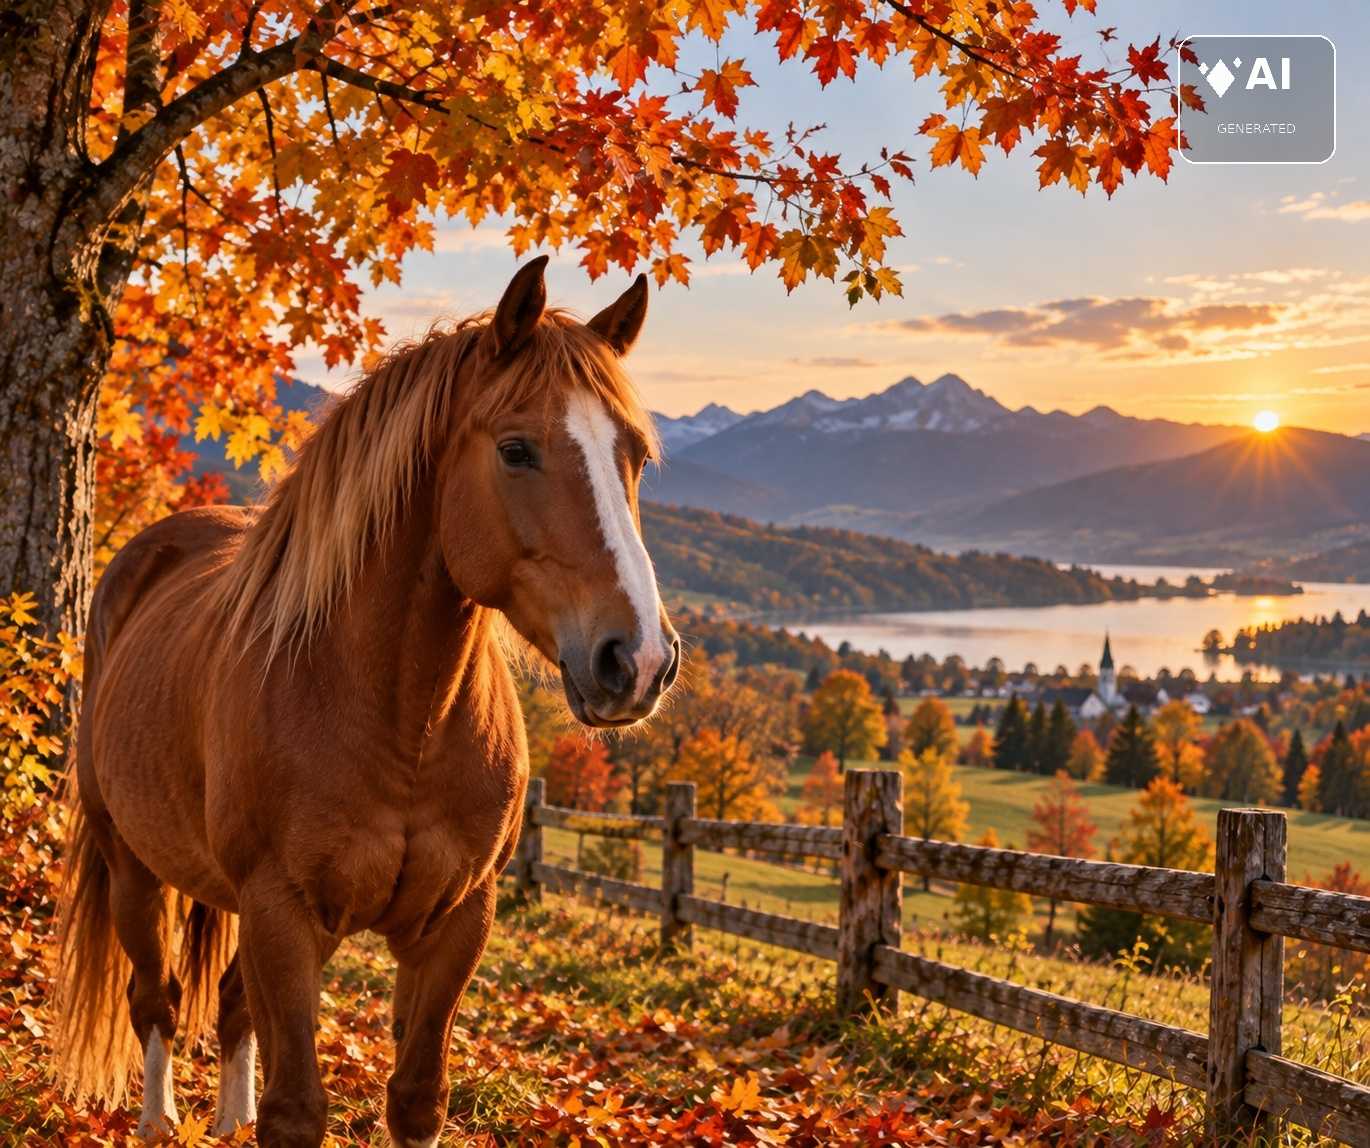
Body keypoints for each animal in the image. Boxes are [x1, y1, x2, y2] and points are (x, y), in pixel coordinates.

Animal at [53, 257, 680, 1147]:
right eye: (517, 449)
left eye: (633, 456)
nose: (639, 659)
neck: (403, 723)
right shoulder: (281, 913)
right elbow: (294, 1109)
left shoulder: (457, 923)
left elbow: (415, 1095)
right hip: (132, 868)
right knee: (159, 1003)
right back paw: (158, 1119)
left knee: (233, 1007)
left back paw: (227, 1116)